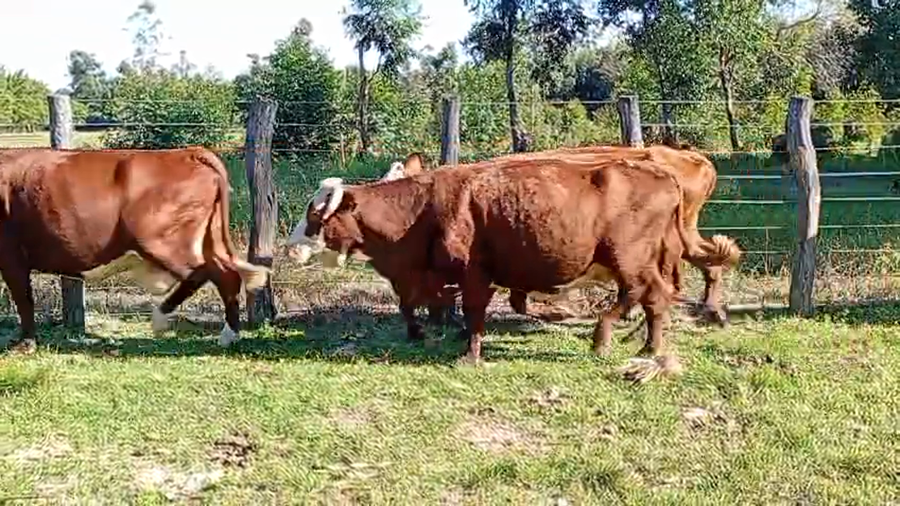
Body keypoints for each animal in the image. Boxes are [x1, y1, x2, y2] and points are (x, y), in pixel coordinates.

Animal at [0, 146, 270, 354]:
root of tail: (188, 152)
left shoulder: (11, 256)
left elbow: (23, 299)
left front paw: (25, 345)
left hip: (160, 240)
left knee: (212, 274)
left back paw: (166, 319)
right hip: (207, 238)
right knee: (225, 273)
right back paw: (227, 335)